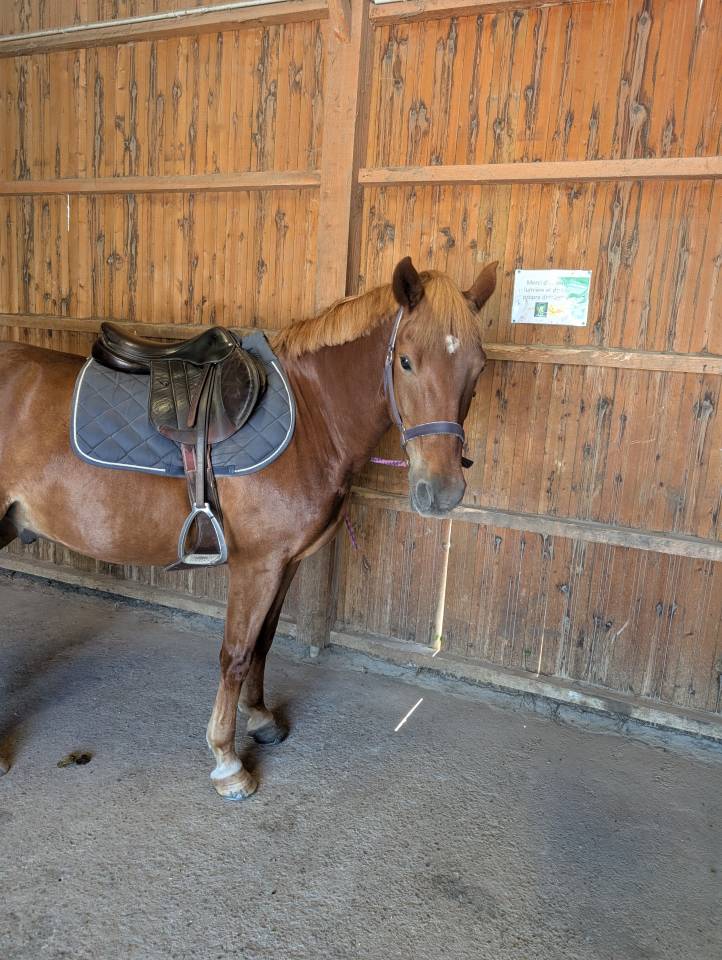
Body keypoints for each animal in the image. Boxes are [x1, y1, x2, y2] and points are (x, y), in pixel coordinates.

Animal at [0, 256, 497, 800]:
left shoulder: (286, 563)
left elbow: (264, 641)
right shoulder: (256, 566)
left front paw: (259, 718)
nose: (442, 491)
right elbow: (236, 653)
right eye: (406, 361)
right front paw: (227, 760)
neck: (312, 418)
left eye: (478, 366)